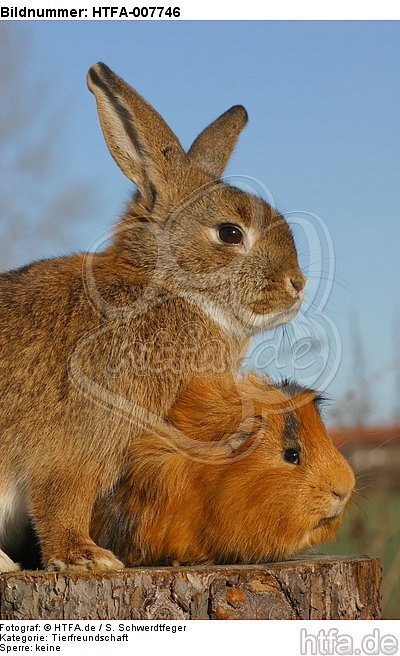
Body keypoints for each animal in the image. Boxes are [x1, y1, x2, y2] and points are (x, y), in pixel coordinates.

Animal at [0, 63, 305, 573]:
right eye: (230, 233)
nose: (297, 284)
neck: (166, 288)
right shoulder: (81, 443)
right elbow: (63, 501)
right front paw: (88, 559)